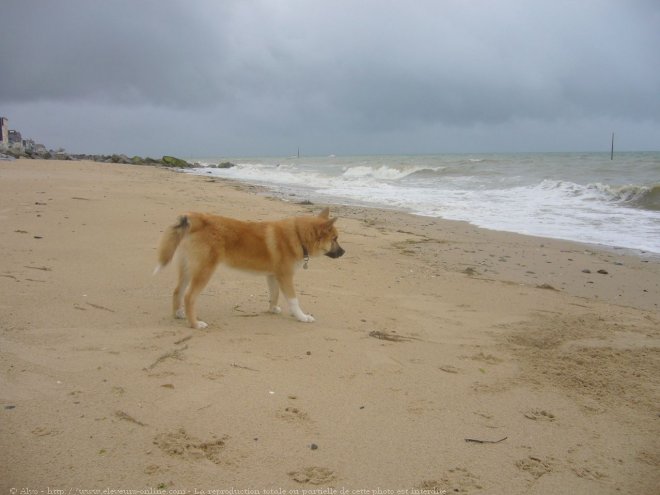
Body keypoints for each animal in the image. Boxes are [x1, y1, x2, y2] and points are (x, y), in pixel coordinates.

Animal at [154, 208, 346, 330]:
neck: (298, 236)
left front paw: (272, 309)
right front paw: (302, 317)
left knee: (177, 291)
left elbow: (274, 294)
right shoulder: (285, 276)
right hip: (203, 272)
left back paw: (178, 314)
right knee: (189, 297)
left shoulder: (273, 275)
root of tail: (197, 218)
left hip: (188, 269)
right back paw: (194, 323)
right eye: (334, 239)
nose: (344, 252)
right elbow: (293, 300)